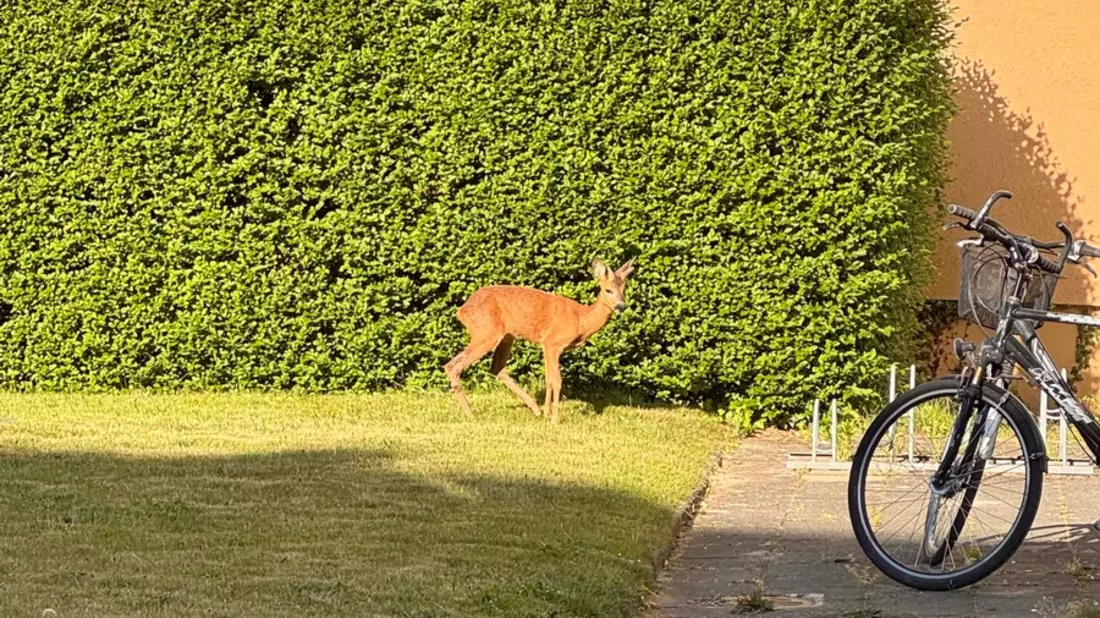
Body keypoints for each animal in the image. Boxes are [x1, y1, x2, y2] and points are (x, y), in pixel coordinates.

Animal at [444, 258, 635, 424]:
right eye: (608, 290)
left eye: (623, 290)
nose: (621, 306)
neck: (581, 320)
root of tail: (462, 310)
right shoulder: (553, 342)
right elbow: (556, 380)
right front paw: (554, 420)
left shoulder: (546, 345)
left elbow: (548, 378)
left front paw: (547, 413)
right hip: (486, 332)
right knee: (454, 366)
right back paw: (471, 415)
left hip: (505, 336)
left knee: (494, 366)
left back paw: (535, 409)